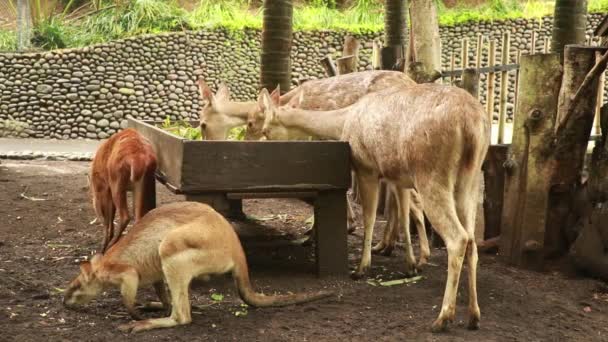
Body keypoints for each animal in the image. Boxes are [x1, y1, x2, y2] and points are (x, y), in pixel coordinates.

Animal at [63, 202, 332, 332]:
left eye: (74, 286)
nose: (63, 303)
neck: (102, 268)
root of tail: (236, 248)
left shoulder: (127, 273)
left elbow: (128, 291)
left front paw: (134, 314)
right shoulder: (153, 275)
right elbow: (159, 288)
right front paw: (150, 304)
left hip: (175, 248)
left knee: (183, 317)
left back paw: (144, 323)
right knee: (177, 302)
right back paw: (157, 307)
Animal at [258, 83, 492, 332]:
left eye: (266, 129)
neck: (344, 121)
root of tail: (471, 123)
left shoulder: (366, 168)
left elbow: (370, 217)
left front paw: (361, 268)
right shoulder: (398, 177)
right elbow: (403, 216)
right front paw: (411, 265)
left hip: (431, 174)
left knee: (458, 238)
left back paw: (443, 317)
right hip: (469, 179)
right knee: (472, 240)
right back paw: (473, 316)